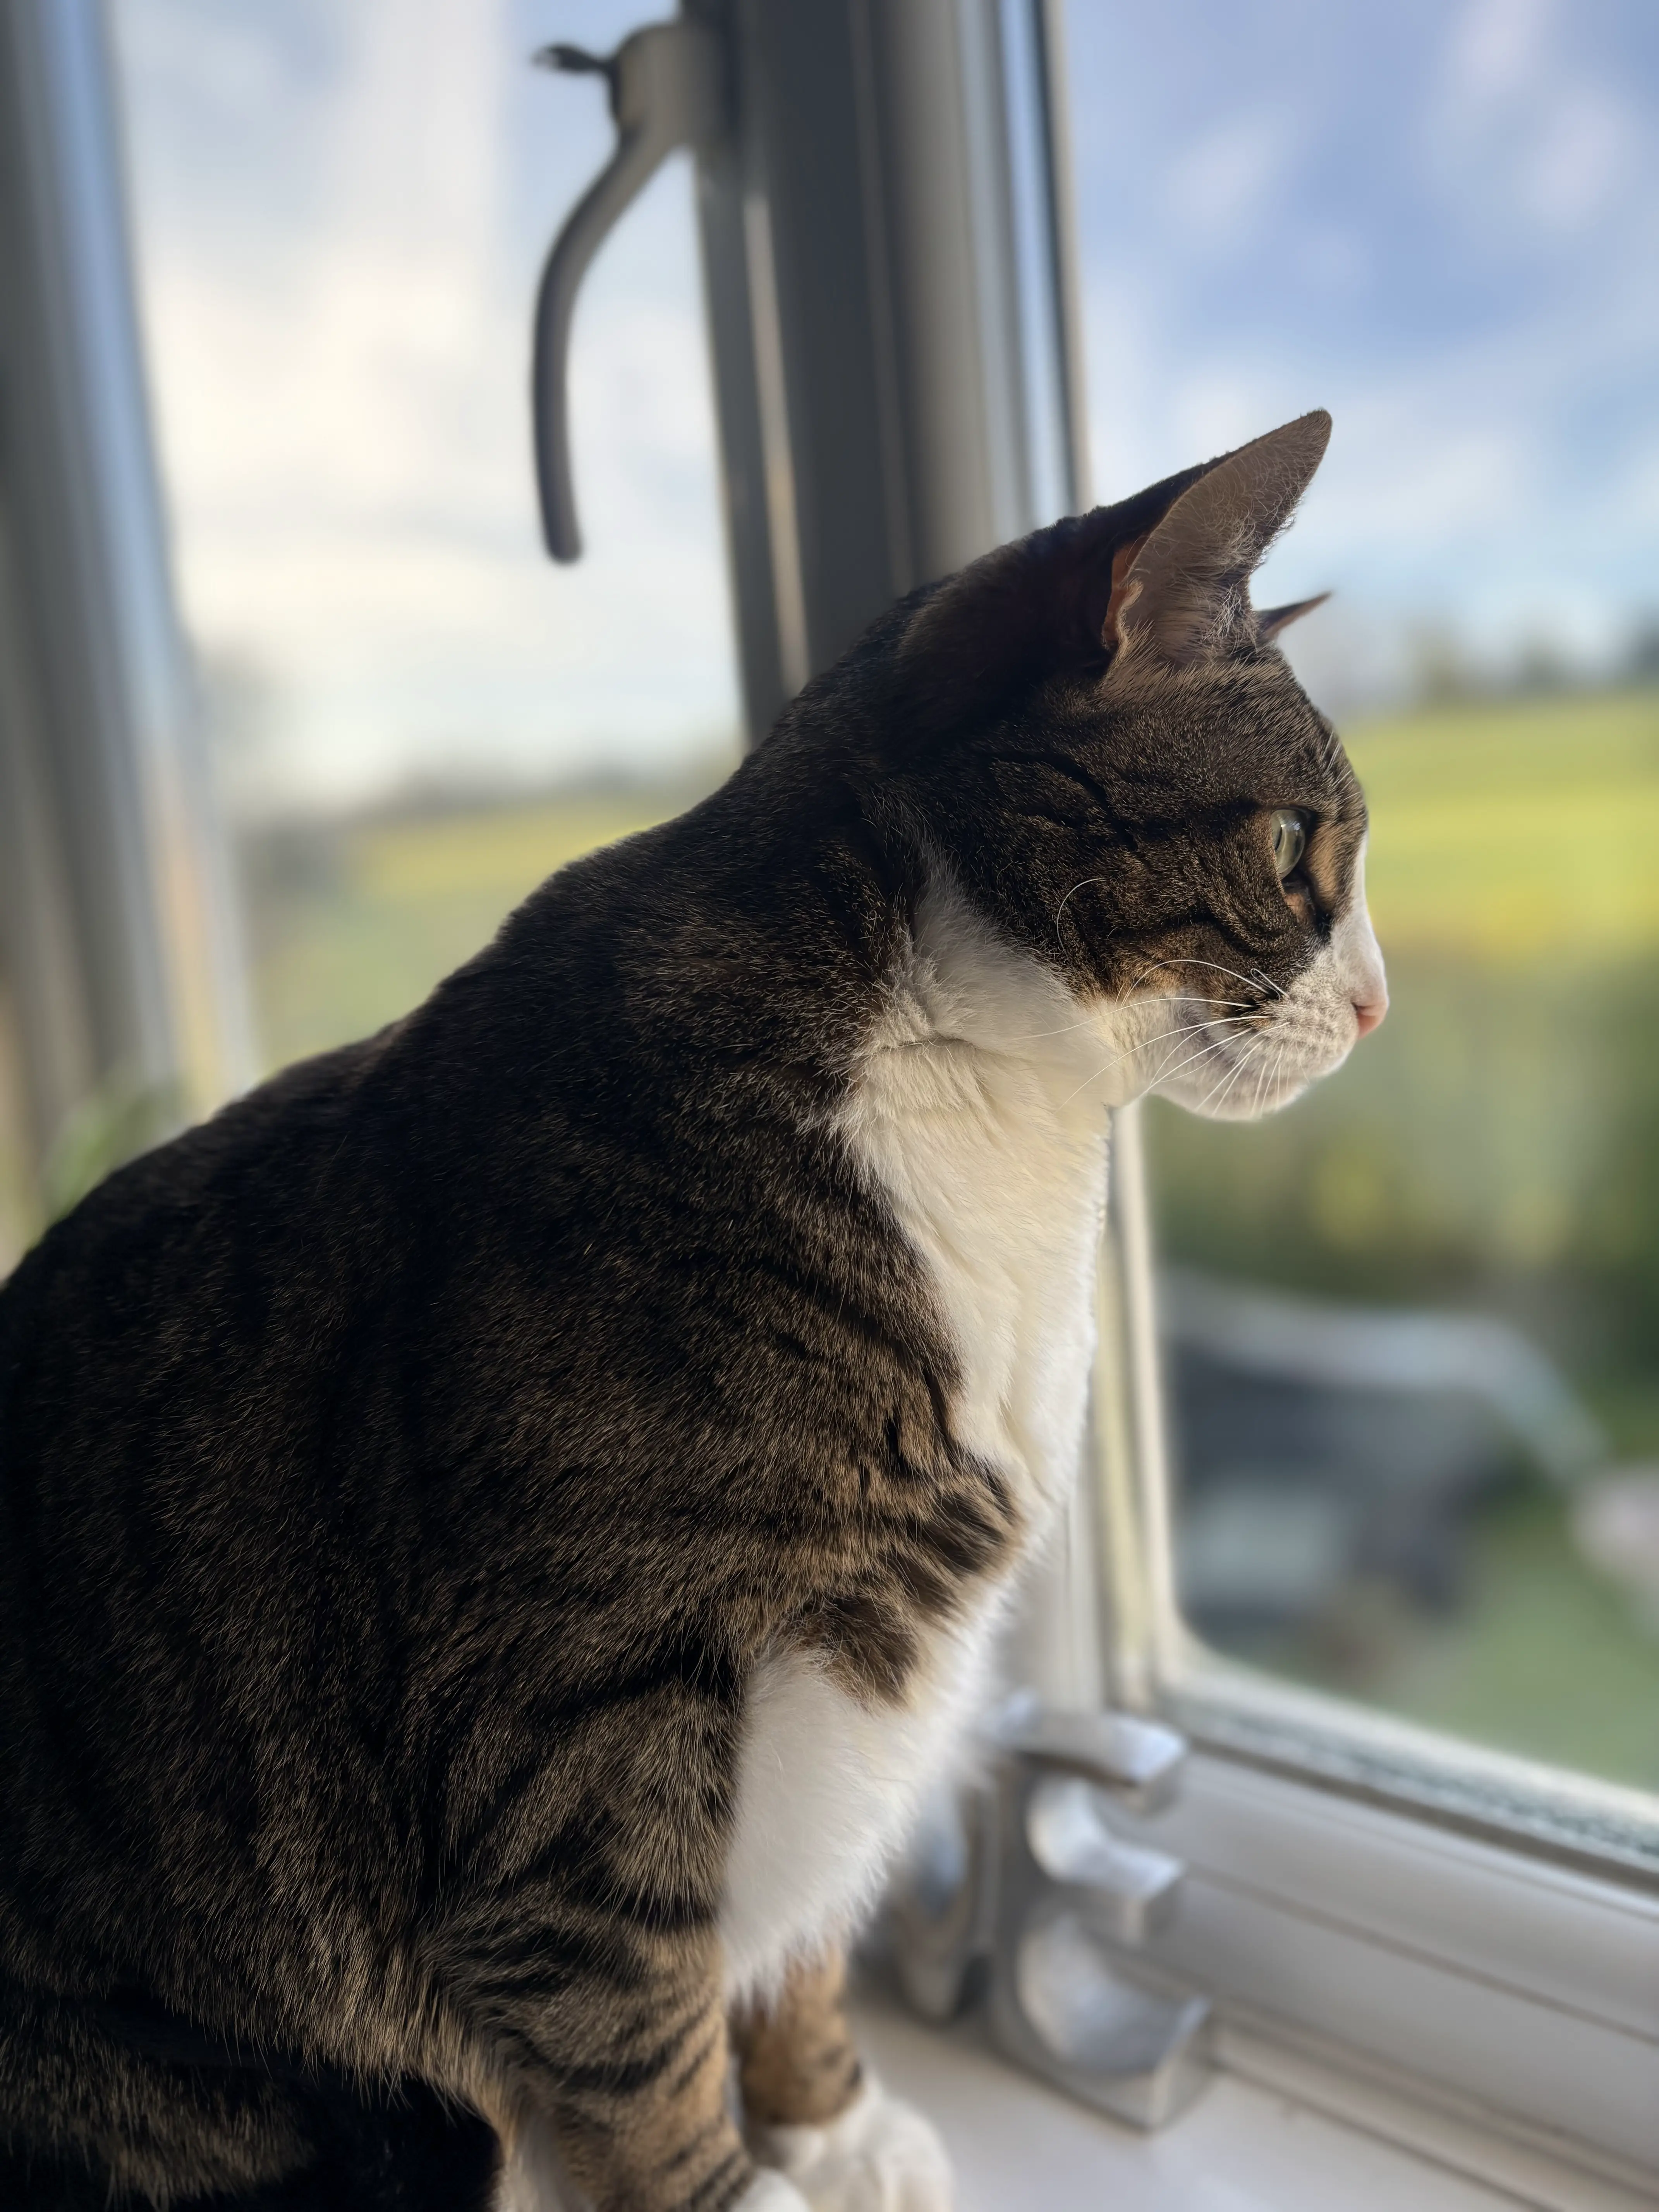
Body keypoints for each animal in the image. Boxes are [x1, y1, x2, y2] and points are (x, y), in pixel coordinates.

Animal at [0, 416, 1380, 2212]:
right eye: (1292, 846)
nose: (1377, 1004)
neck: (986, 1106)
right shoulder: (575, 1709)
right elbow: (633, 2015)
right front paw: (738, 2185)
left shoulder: (862, 1684)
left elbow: (802, 1924)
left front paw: (833, 2123)